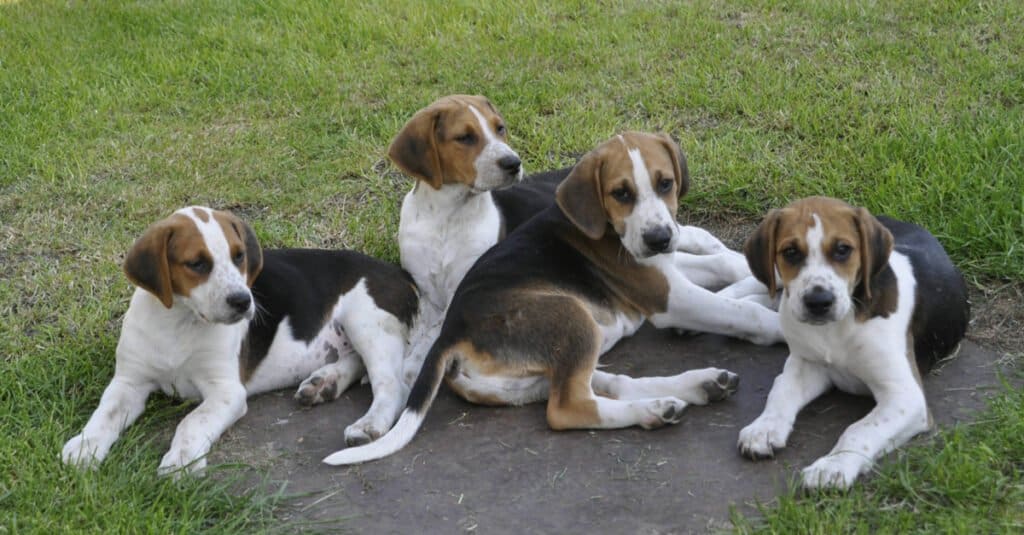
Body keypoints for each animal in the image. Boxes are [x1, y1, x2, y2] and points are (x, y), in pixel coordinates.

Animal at [61, 204, 415, 475]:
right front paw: (84, 447)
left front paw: (181, 461)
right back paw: (325, 382)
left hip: (367, 320)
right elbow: (105, 413)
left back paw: (368, 425)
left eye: (239, 256)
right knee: (357, 362)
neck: (180, 321)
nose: (244, 301)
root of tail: (400, 272)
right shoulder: (129, 381)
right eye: (197, 264)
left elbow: (191, 422)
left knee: (392, 385)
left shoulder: (226, 391)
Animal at [323, 132, 778, 461]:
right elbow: (742, 313)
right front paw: (779, 323)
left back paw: (695, 388)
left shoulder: (664, 271)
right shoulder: (668, 295)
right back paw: (656, 409)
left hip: (549, 359)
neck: (605, 227)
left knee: (607, 384)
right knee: (568, 407)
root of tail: (451, 334)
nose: (660, 237)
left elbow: (721, 267)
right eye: (621, 193)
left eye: (665, 183)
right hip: (570, 315)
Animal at [737, 195, 966, 487]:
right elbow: (781, 391)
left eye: (843, 250)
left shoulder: (905, 396)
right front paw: (764, 427)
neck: (835, 328)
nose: (818, 302)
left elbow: (860, 429)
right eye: (790, 252)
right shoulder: (806, 364)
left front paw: (832, 466)